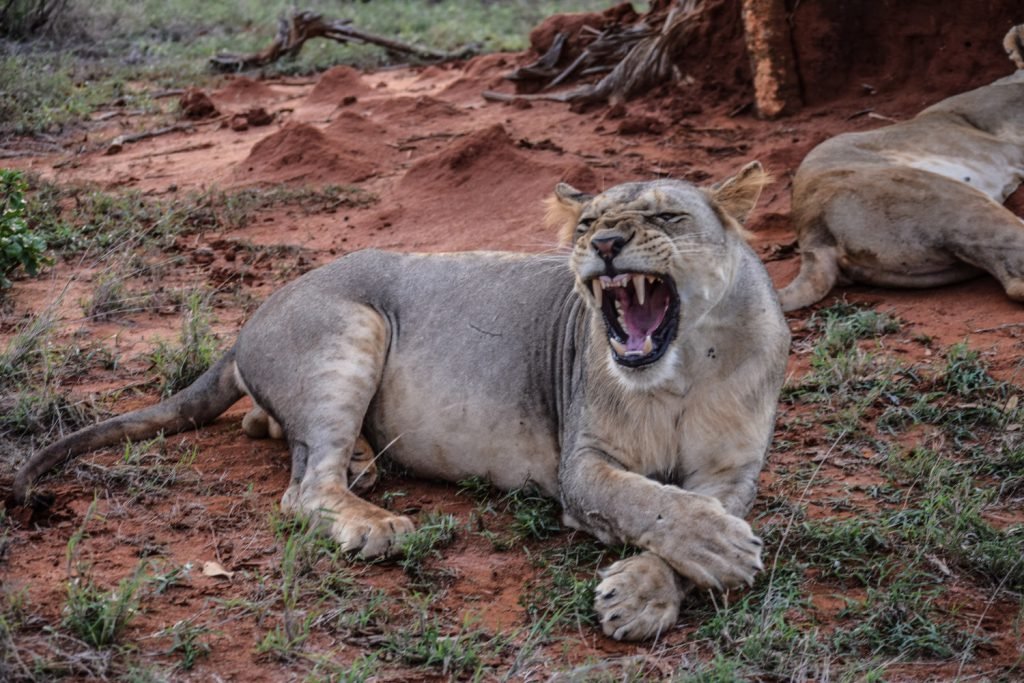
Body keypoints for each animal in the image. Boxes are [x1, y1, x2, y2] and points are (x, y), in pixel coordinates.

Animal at [10, 162, 789, 641]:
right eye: (586, 221)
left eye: (667, 216)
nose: (603, 243)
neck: (678, 371)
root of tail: (252, 319)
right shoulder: (582, 463)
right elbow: (650, 503)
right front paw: (718, 554)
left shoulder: (734, 469)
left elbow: (691, 507)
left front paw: (645, 592)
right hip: (353, 328)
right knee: (304, 487)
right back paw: (374, 521)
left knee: (285, 441)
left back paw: (358, 460)